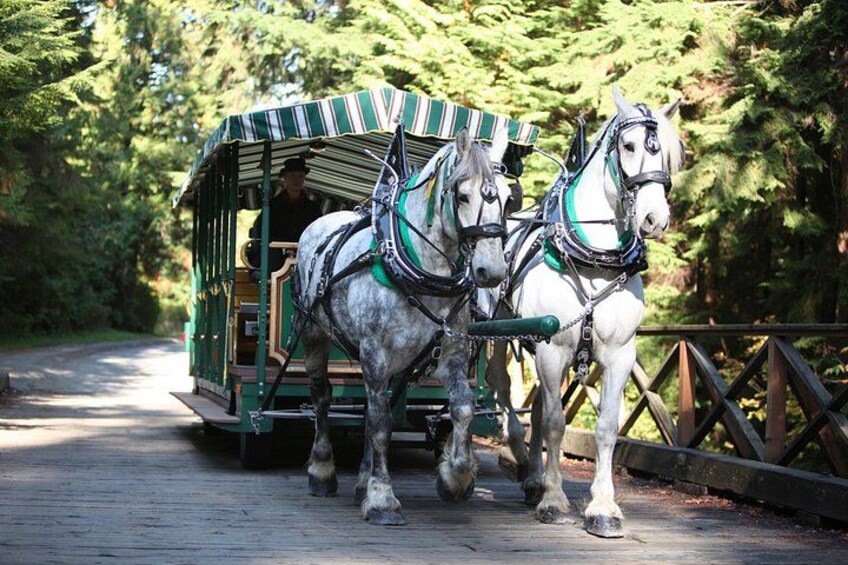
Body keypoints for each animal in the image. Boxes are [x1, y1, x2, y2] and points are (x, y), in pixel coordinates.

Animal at [295, 127, 514, 526]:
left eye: (507, 199)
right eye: (462, 195)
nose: (491, 272)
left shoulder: (451, 352)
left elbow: (461, 408)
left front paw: (455, 478)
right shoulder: (374, 352)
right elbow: (382, 425)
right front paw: (382, 498)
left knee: (372, 409)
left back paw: (361, 482)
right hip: (314, 335)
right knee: (322, 398)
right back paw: (322, 470)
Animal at [486, 86, 684, 537]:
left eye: (668, 152)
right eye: (629, 146)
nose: (655, 218)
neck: (595, 258)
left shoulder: (619, 354)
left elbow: (606, 427)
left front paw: (603, 508)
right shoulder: (552, 348)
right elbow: (557, 424)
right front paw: (555, 502)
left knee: (538, 407)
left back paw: (534, 479)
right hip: (498, 334)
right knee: (502, 388)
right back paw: (520, 458)